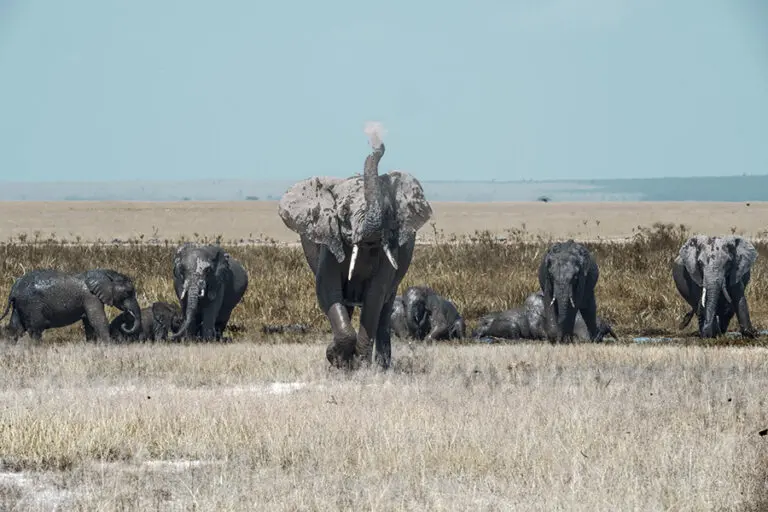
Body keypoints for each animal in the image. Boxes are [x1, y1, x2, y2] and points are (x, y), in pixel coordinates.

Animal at [0, 268, 141, 342]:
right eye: (128, 292)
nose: (126, 321)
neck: (105, 273)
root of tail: (14, 288)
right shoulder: (91, 297)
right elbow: (97, 320)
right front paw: (109, 345)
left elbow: (89, 323)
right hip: (31, 305)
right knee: (36, 329)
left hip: (19, 305)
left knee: (16, 328)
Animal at [278, 122, 432, 369]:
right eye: (344, 212)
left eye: (388, 212)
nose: (376, 140)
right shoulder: (330, 241)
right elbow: (328, 290)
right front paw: (337, 359)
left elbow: (375, 296)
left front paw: (359, 365)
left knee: (385, 309)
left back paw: (382, 367)